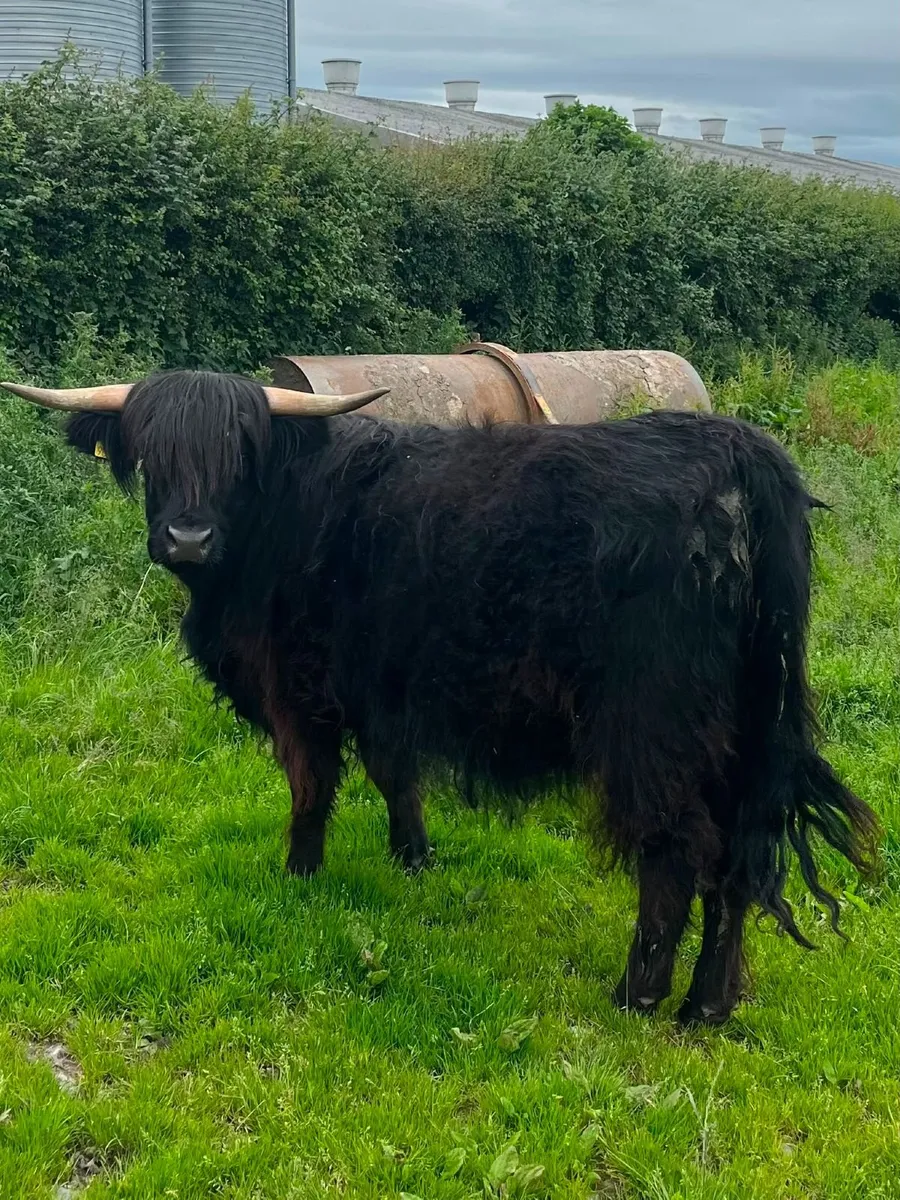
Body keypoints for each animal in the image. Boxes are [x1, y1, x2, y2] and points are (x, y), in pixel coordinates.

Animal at [2, 370, 878, 1025]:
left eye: (237, 453)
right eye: (149, 452)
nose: (187, 538)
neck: (278, 519)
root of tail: (736, 447)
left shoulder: (300, 692)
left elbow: (312, 787)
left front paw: (299, 876)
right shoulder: (384, 688)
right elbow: (397, 775)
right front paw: (414, 858)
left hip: (653, 722)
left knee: (677, 848)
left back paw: (639, 995)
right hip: (742, 727)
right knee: (740, 855)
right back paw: (708, 1005)